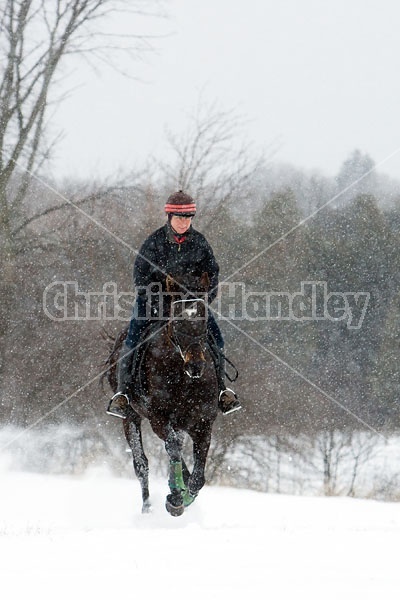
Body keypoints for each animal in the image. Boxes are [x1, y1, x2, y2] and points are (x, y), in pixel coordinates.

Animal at [105, 276, 219, 516]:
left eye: (204, 322)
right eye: (177, 322)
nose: (196, 365)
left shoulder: (203, 424)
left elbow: (198, 476)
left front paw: (185, 495)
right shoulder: (159, 419)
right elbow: (173, 450)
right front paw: (175, 499)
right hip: (131, 417)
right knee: (141, 464)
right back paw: (148, 508)